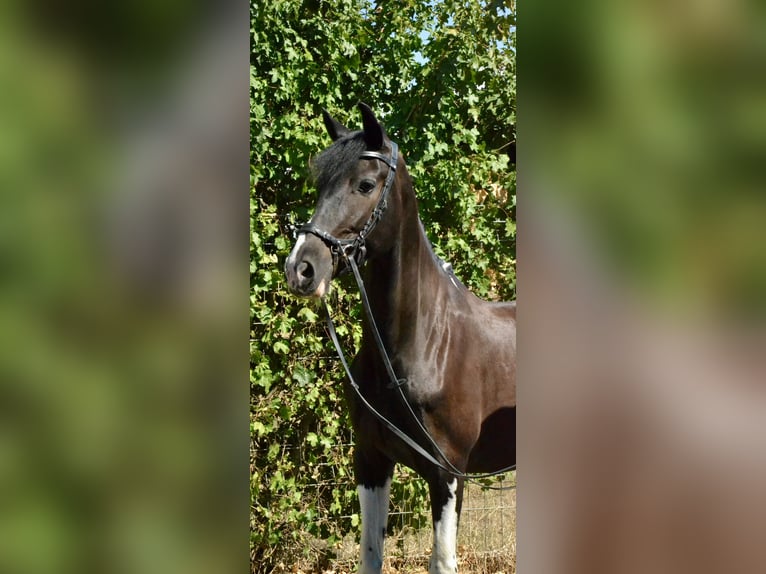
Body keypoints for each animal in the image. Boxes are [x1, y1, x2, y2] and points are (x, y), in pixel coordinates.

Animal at [284, 102, 516, 574]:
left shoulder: (448, 474)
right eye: (319, 185)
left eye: (365, 184)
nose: (301, 268)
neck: (423, 342)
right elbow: (370, 557)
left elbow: (441, 562)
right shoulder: (371, 460)